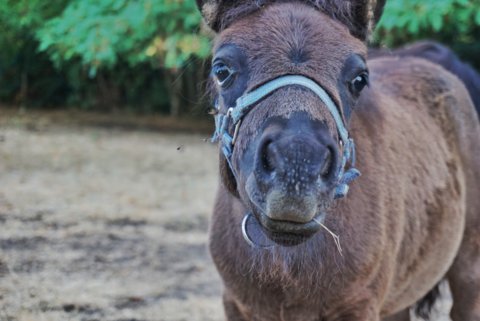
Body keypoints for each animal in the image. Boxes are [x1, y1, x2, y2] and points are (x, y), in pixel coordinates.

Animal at [195, 1, 480, 318]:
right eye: (222, 69)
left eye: (359, 79)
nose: (297, 168)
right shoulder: (236, 304)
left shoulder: (359, 306)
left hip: (468, 271)